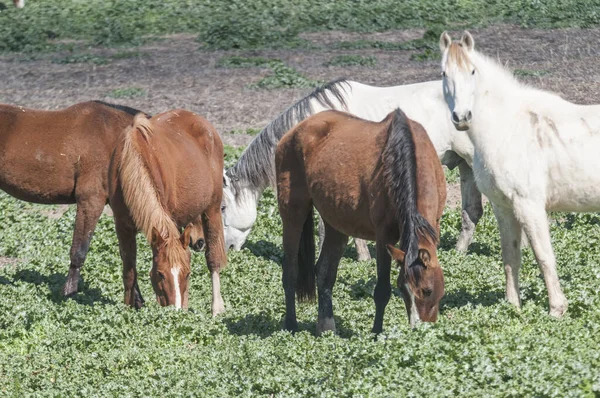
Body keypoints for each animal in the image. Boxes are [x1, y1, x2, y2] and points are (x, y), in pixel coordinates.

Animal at [108, 109, 227, 314]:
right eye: (160, 274)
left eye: (187, 274)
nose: (175, 311)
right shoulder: (122, 226)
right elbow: (129, 271)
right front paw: (129, 309)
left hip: (211, 209)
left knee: (213, 259)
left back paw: (216, 308)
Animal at [276, 108, 446, 332]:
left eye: (430, 290)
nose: (420, 327)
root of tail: (294, 131)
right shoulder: (384, 236)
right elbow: (382, 290)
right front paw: (376, 332)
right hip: (293, 213)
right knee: (290, 270)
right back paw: (291, 325)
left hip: (336, 223)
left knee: (324, 272)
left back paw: (327, 327)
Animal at [436, 31, 600, 318]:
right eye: (444, 73)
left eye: (472, 71)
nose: (462, 116)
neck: (508, 127)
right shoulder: (503, 206)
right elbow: (510, 256)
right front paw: (513, 305)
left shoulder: (529, 205)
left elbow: (543, 255)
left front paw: (557, 309)